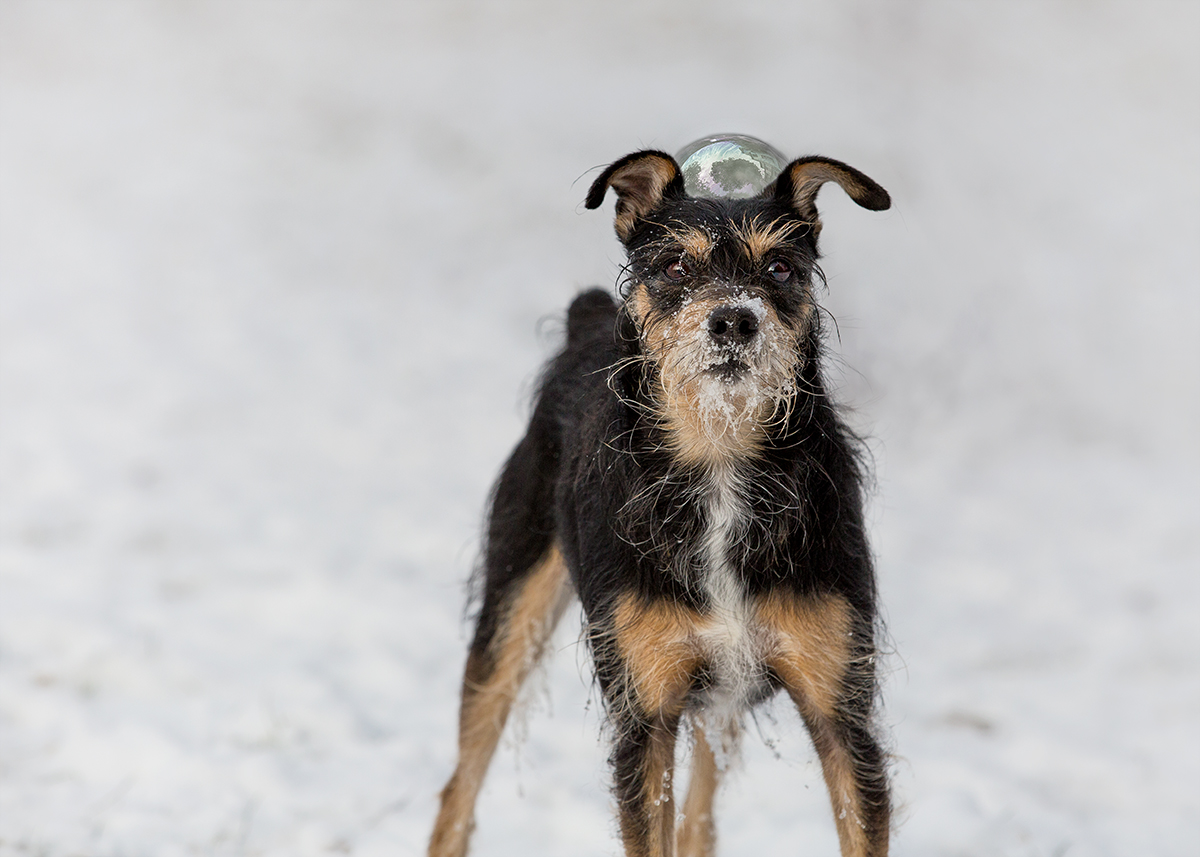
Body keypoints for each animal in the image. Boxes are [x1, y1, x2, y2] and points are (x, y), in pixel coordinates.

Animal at [429, 148, 892, 854]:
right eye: (675, 265)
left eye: (781, 267)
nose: (734, 319)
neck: (720, 459)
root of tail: (583, 326)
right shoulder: (643, 722)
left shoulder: (844, 716)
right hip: (511, 613)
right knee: (458, 790)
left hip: (719, 697)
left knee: (699, 819)